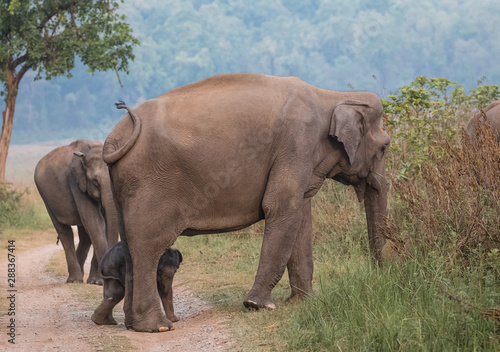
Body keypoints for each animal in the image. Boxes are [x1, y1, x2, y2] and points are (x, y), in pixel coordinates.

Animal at [34, 140, 118, 284]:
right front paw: (100, 282)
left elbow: (100, 224)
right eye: (95, 181)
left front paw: (96, 282)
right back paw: (74, 280)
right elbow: (95, 221)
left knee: (84, 236)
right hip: (46, 198)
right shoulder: (76, 182)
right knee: (65, 232)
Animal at [101, 73, 390, 332]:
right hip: (150, 183)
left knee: (130, 244)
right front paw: (258, 305)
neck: (332, 96)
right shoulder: (297, 144)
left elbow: (300, 215)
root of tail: (115, 138)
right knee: (148, 246)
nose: (379, 275)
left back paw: (133, 325)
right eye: (385, 147)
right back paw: (157, 327)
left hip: (125, 187)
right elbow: (280, 206)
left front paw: (302, 303)